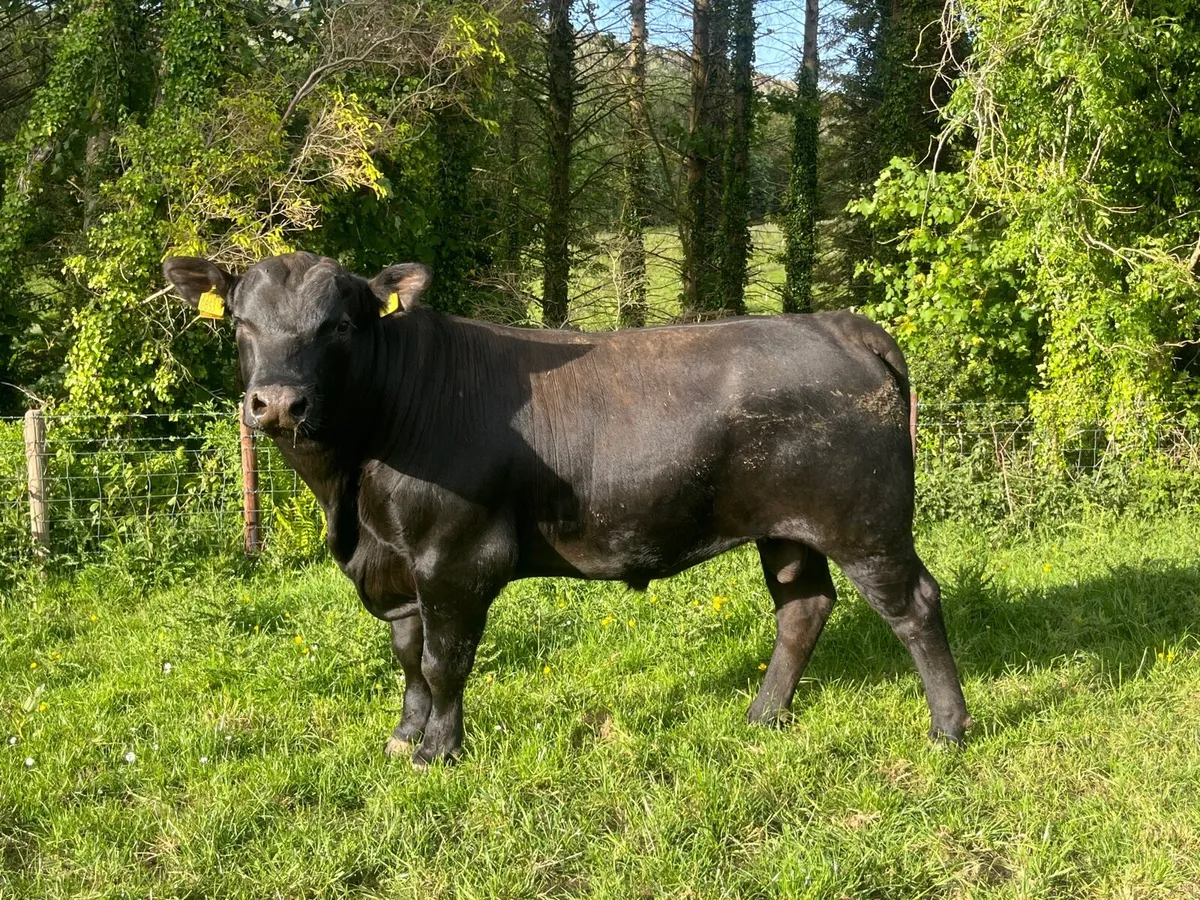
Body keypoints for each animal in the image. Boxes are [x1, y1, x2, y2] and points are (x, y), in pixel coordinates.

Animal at [163, 251, 970, 766]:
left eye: (338, 324)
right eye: (239, 322)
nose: (276, 402)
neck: (352, 495)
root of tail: (835, 323)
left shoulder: (457, 556)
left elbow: (445, 658)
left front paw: (438, 752)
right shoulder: (394, 563)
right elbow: (409, 655)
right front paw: (404, 735)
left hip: (865, 523)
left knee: (915, 606)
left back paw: (948, 728)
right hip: (787, 529)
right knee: (803, 607)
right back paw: (763, 715)